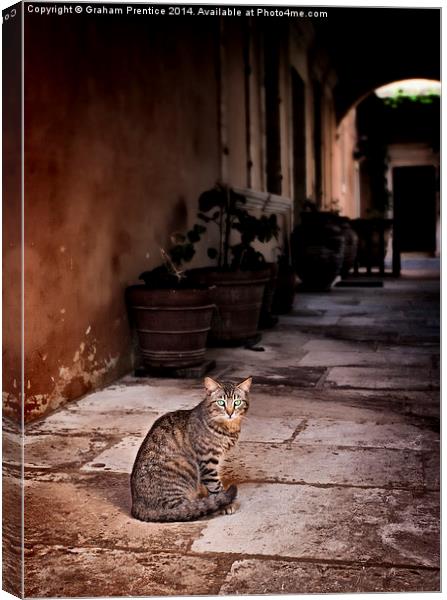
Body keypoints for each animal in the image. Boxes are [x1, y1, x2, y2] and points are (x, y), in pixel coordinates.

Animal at [130, 376, 252, 520]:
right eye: (221, 402)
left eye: (237, 402)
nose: (230, 413)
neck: (229, 428)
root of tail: (136, 505)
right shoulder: (208, 460)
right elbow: (215, 485)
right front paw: (225, 504)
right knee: (184, 510)